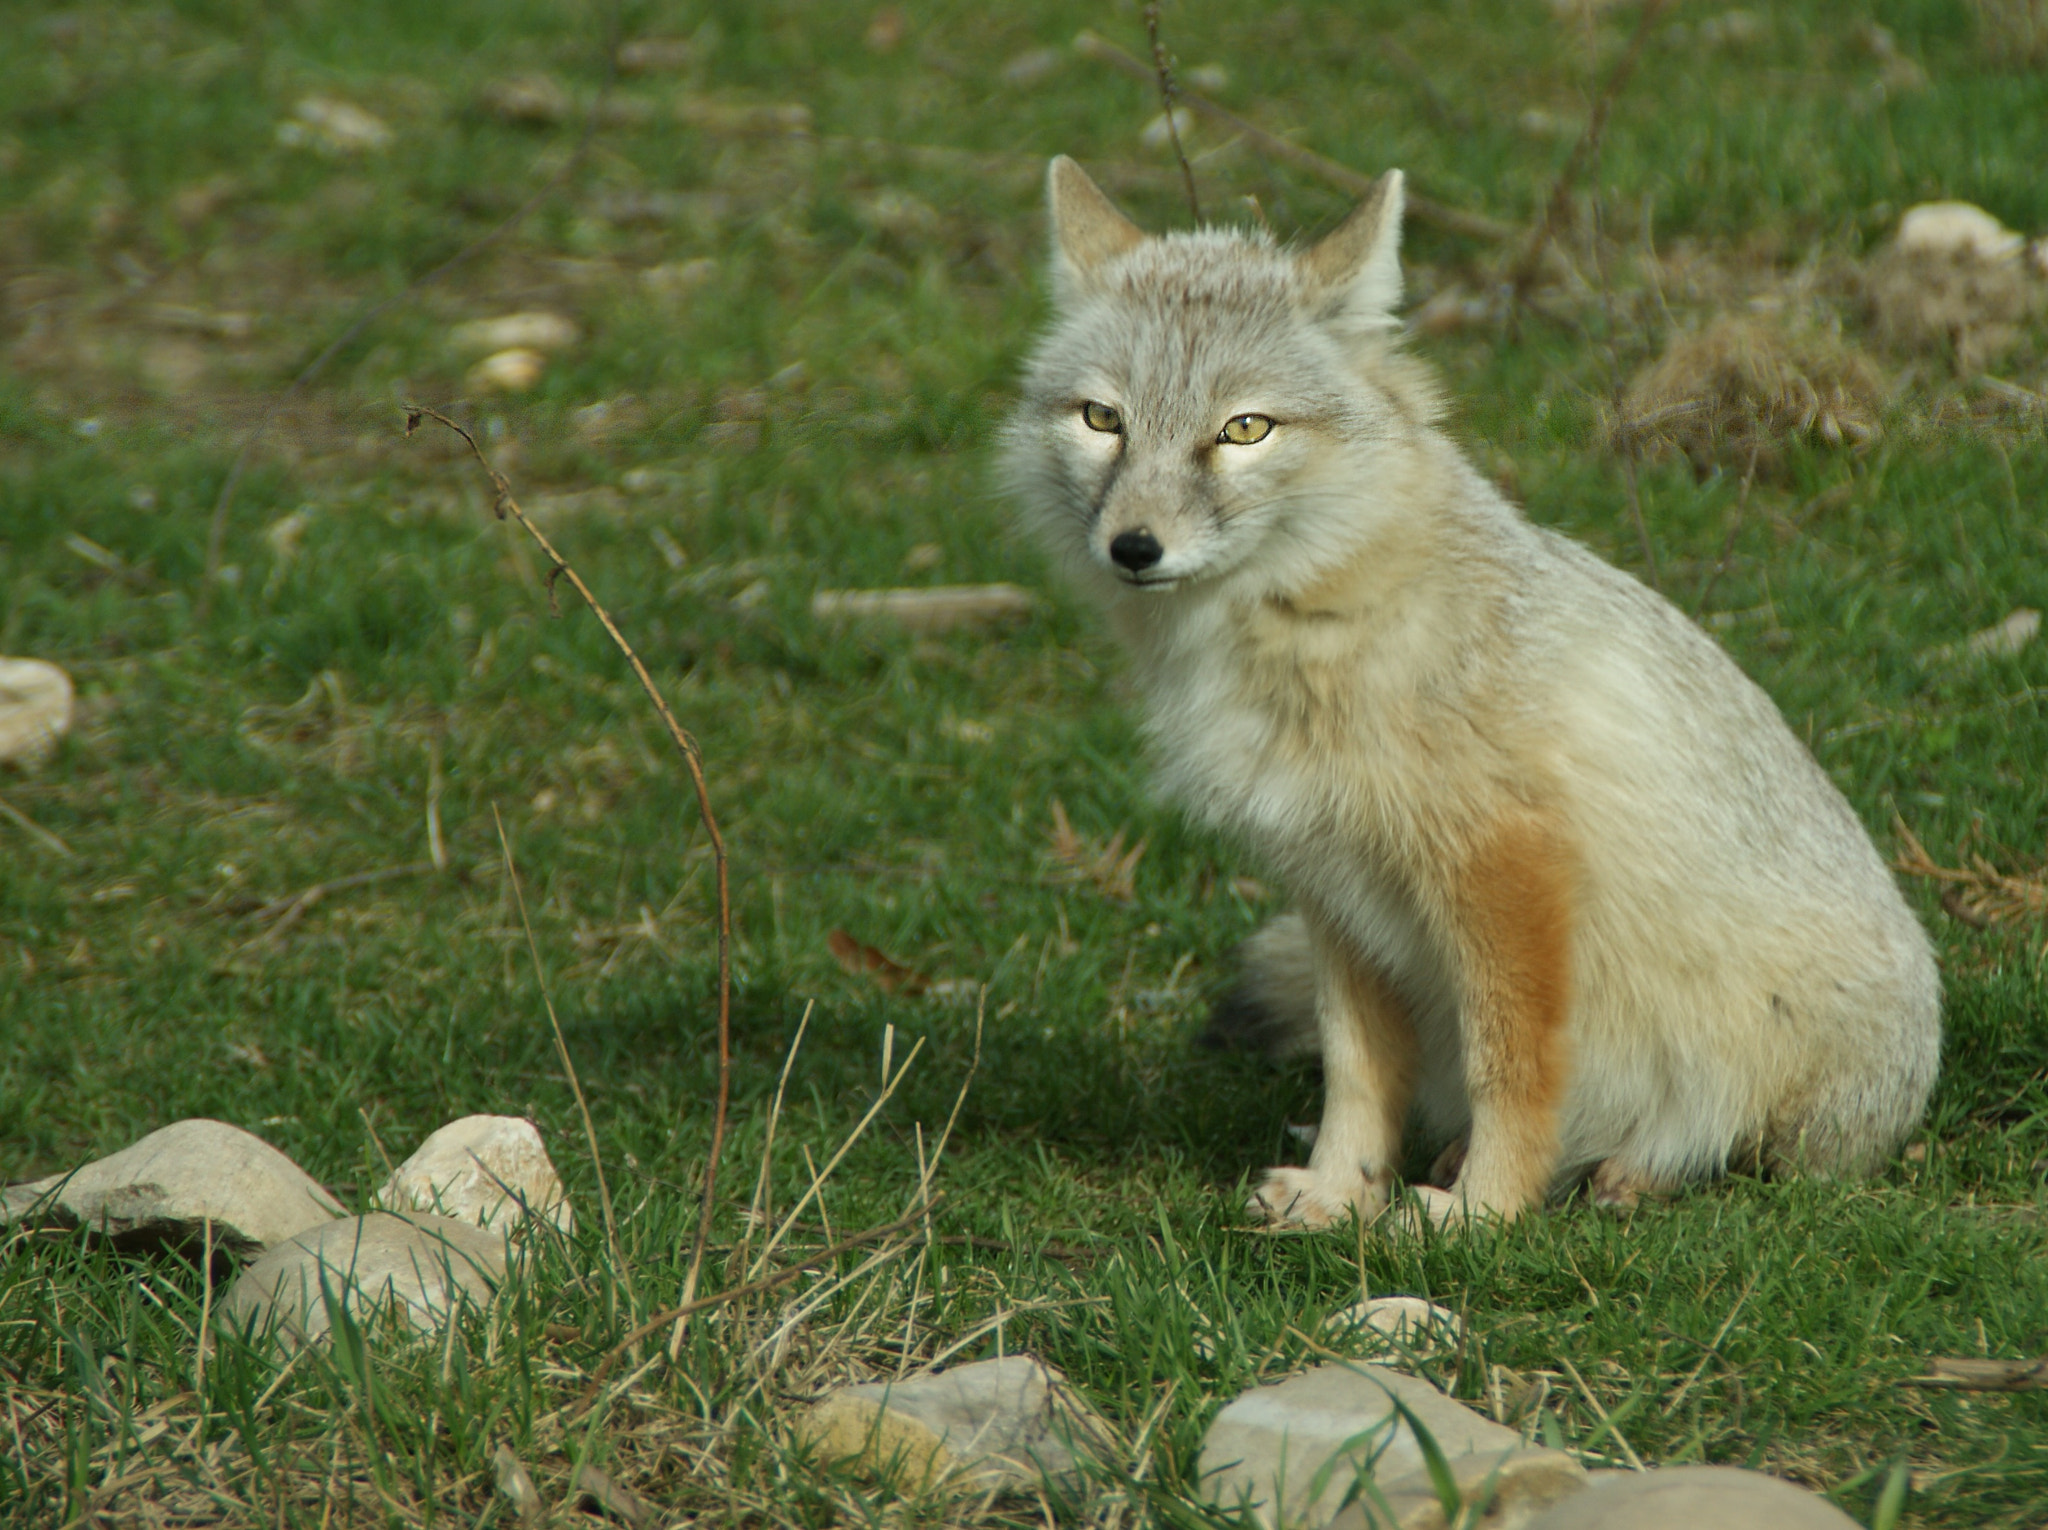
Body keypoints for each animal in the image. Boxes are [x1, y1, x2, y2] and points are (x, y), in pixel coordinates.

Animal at [999, 155, 1941, 1228]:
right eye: (1102, 419)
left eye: (1243, 430)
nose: (1134, 548)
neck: (1318, 633)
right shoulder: (1333, 882)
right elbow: (1356, 1069)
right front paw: (1341, 1192)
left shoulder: (1501, 866)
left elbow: (1513, 1063)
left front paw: (1481, 1216)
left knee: (1729, 1153)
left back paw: (1628, 1170)